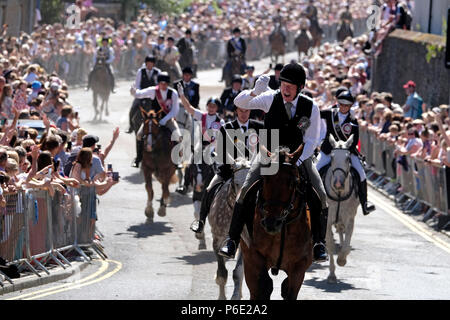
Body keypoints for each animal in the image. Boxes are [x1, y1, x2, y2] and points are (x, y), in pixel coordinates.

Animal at [207, 159, 250, 302]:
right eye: (236, 183)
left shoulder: (244, 242)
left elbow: (238, 272)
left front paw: (235, 296)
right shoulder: (217, 240)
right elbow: (222, 273)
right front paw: (222, 297)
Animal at [239, 148, 312, 300]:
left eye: (293, 182)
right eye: (265, 179)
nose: (272, 223)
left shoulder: (299, 265)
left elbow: (289, 291)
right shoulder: (252, 258)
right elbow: (263, 287)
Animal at [322, 134, 360, 284]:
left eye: (348, 158)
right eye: (332, 158)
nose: (338, 183)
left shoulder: (350, 218)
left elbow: (346, 245)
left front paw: (342, 259)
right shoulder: (326, 221)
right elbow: (330, 244)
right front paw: (332, 274)